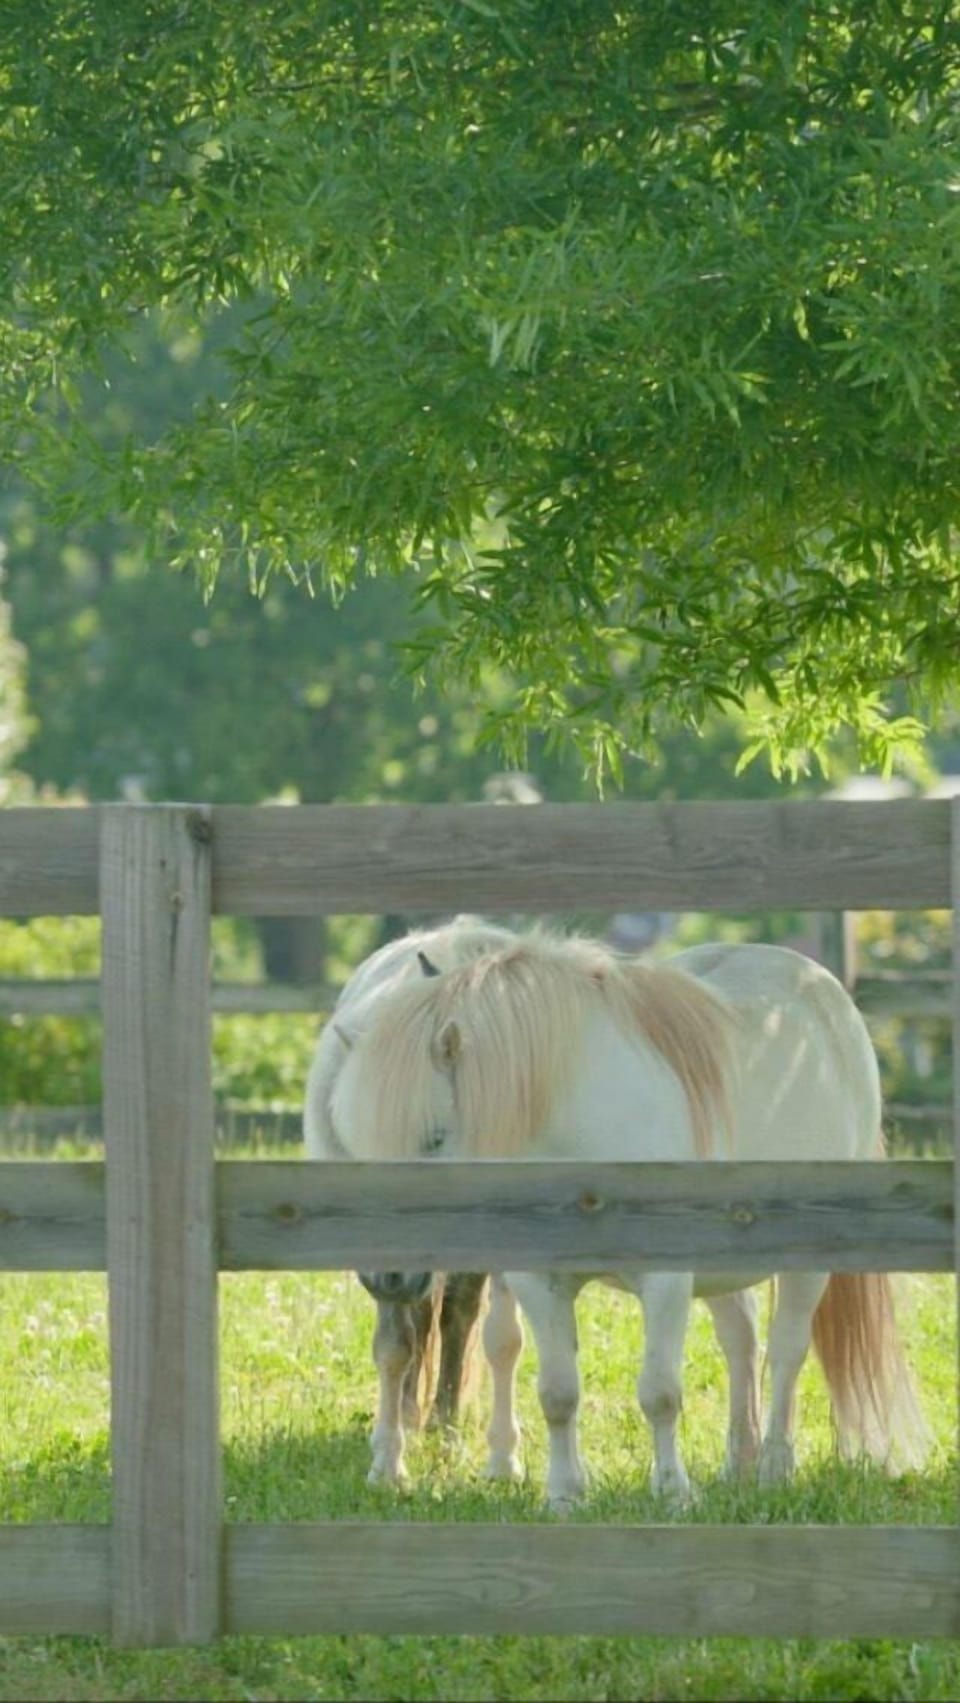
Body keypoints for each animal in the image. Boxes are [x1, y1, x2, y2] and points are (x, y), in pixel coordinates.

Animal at [304, 915, 522, 1485]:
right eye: (357, 1140)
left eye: (437, 1136)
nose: (391, 1277)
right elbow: (394, 1347)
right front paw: (388, 1460)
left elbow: (498, 1339)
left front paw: (493, 1456)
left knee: (457, 1318)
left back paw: (445, 1425)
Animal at [327, 926, 929, 1509]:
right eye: (358, 1142)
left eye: (433, 1138)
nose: (387, 1277)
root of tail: (827, 995)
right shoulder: (541, 1282)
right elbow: (558, 1393)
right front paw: (564, 1495)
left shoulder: (665, 1281)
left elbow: (660, 1393)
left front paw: (672, 1493)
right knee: (741, 1340)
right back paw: (739, 1462)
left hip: (806, 1261)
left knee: (785, 1352)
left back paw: (775, 1470)